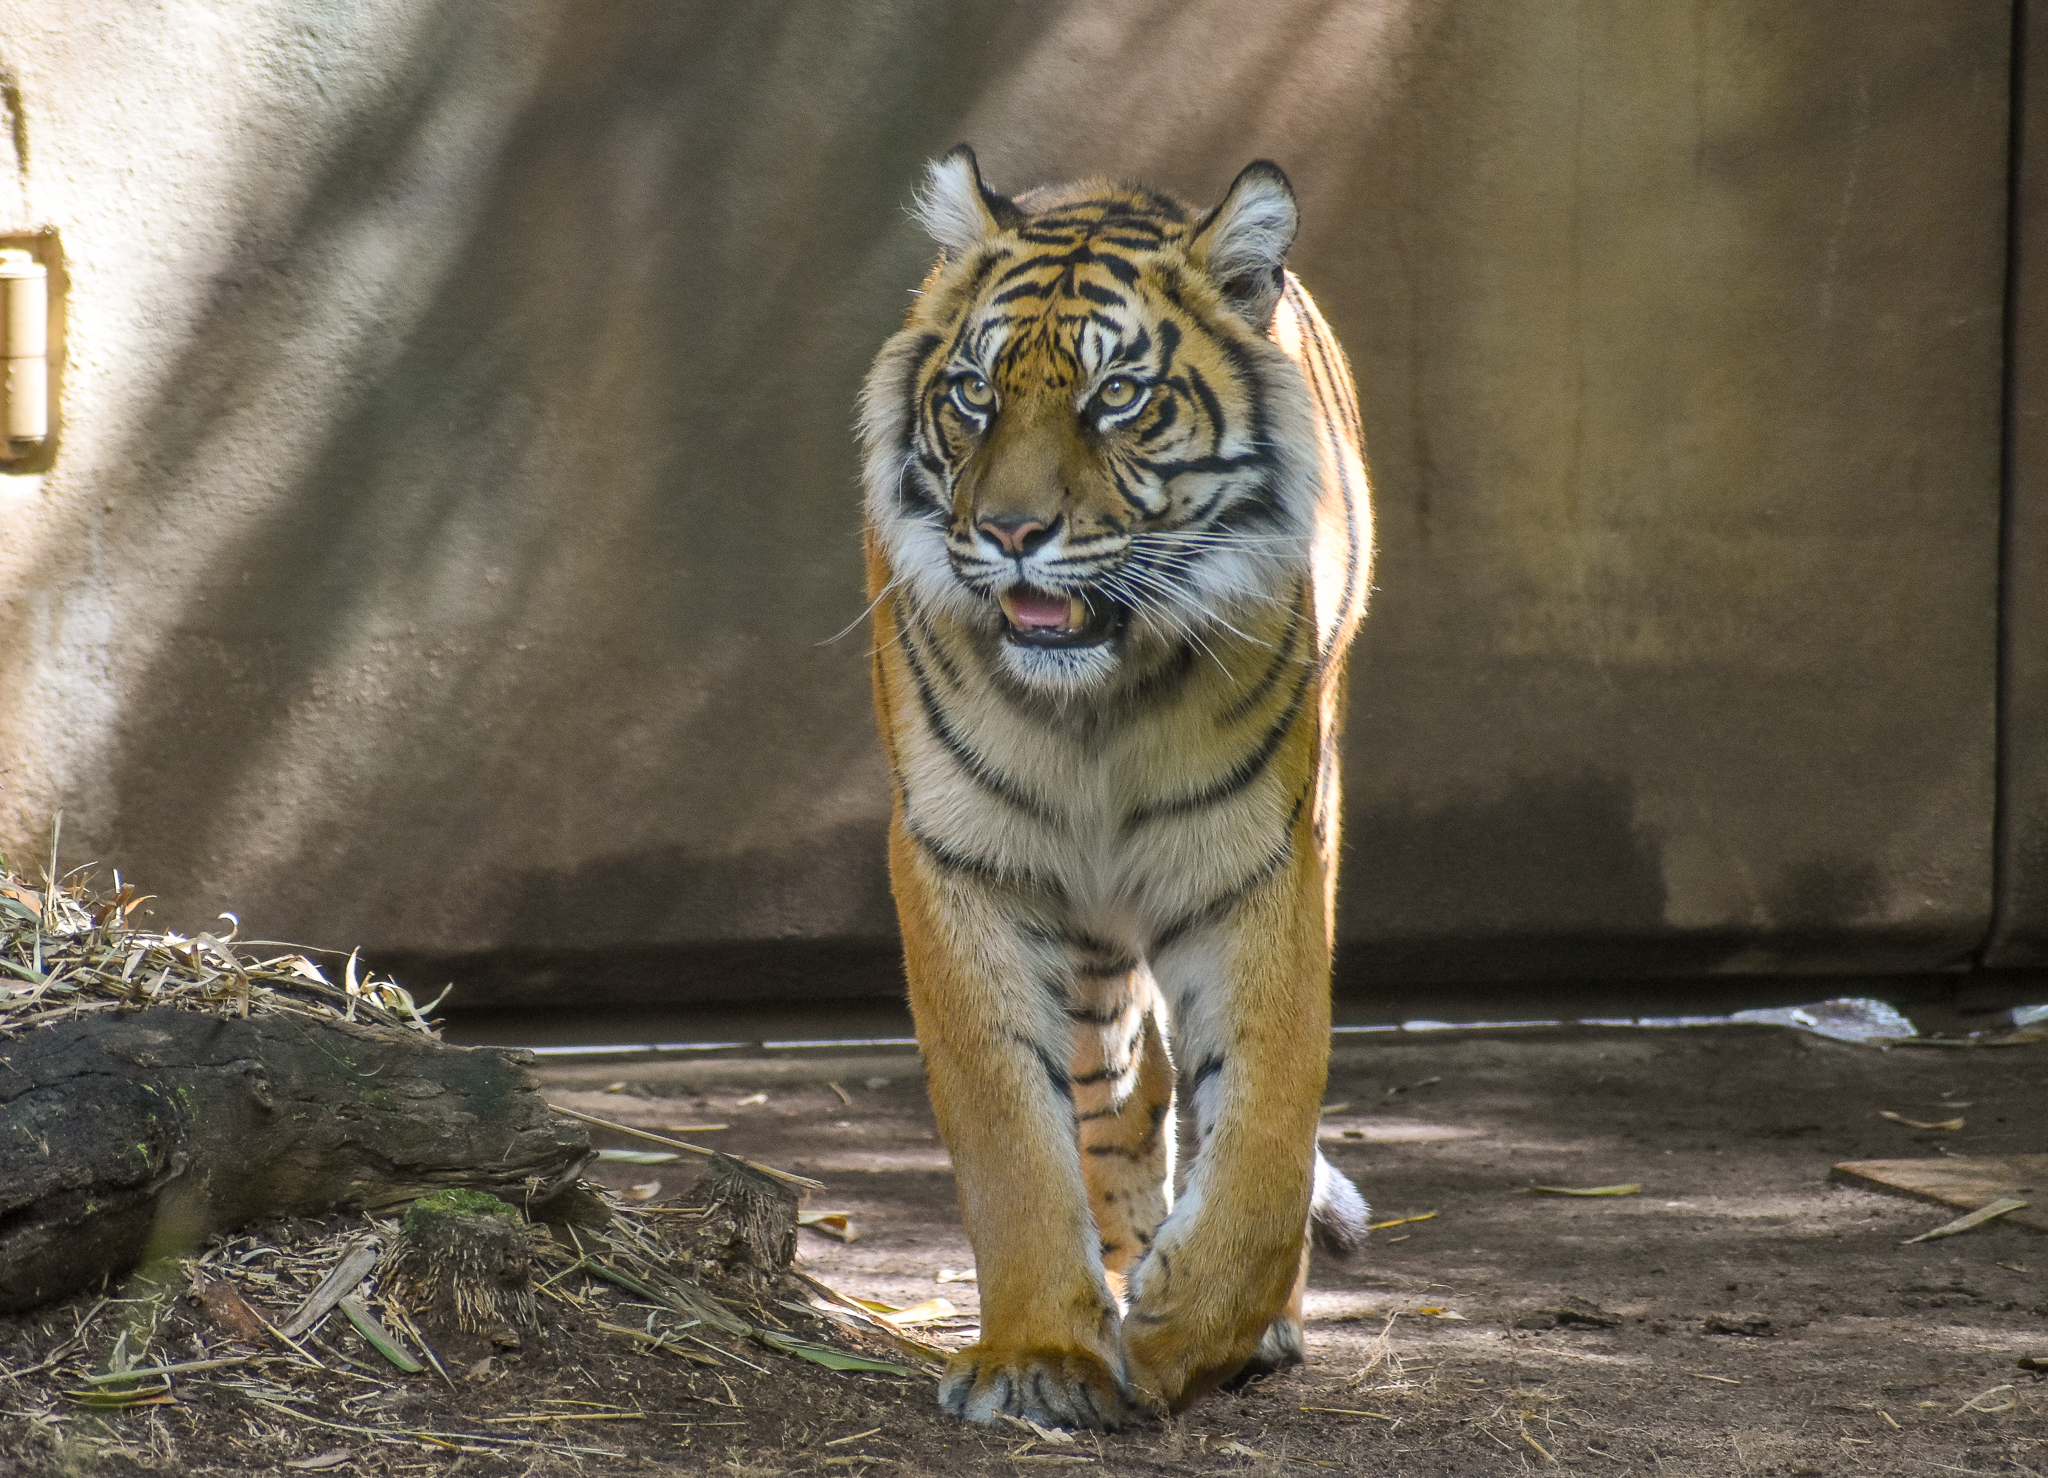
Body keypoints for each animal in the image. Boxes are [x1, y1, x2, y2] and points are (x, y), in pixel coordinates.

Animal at [859, 145, 1373, 1428]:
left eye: (1117, 397)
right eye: (974, 395)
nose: (1009, 530)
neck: (1094, 709)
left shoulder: (1262, 854)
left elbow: (1265, 1110)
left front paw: (1200, 1329)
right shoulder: (961, 858)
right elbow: (1009, 1130)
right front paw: (1041, 1351)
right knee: (1121, 1079)